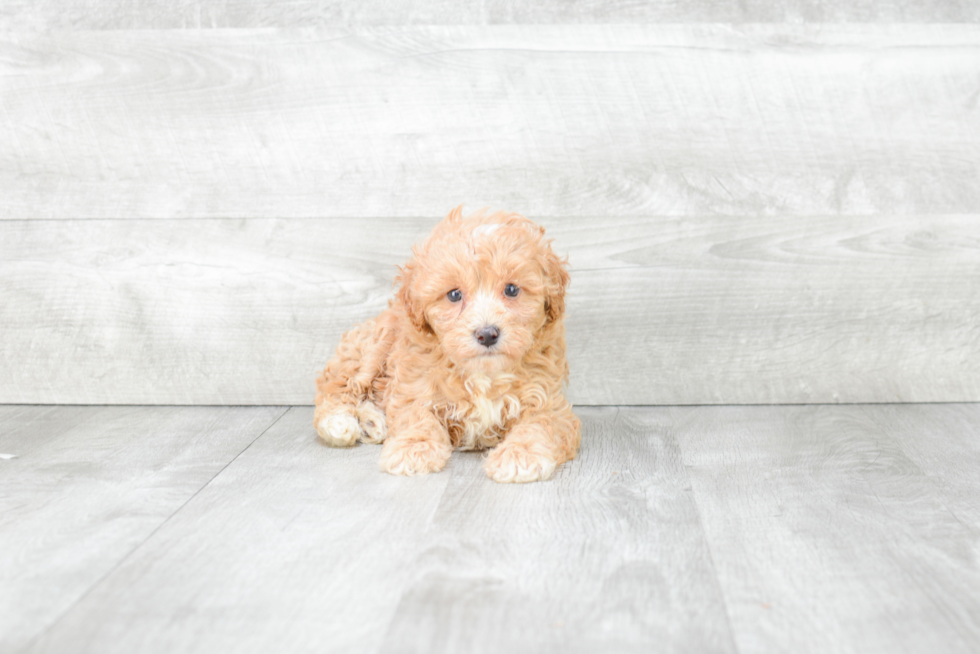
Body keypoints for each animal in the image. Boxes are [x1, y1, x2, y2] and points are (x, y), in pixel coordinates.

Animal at [314, 208, 580, 484]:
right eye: (454, 295)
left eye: (511, 289)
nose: (487, 334)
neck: (484, 374)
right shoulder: (414, 386)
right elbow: (417, 417)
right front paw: (412, 448)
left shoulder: (547, 399)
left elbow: (540, 424)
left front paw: (520, 455)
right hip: (372, 346)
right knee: (337, 386)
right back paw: (340, 422)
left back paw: (371, 422)